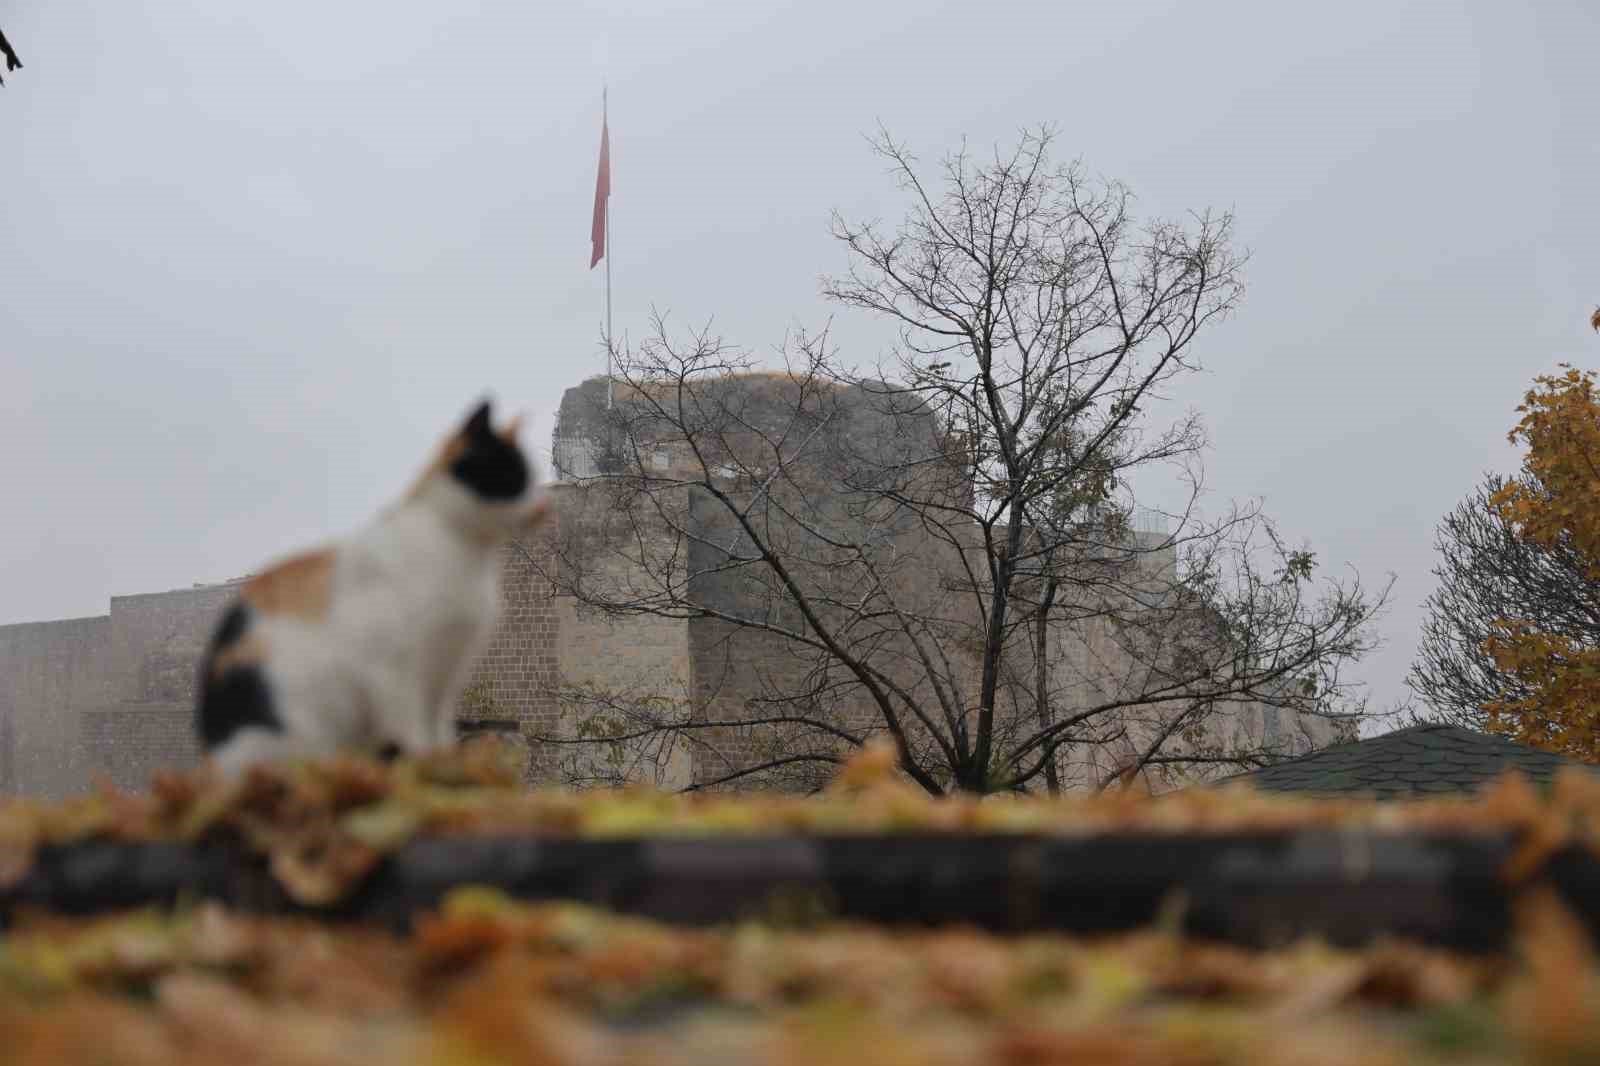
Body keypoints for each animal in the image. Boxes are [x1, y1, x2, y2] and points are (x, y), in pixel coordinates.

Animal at [195, 398, 550, 771]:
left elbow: (438, 734)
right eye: (511, 476)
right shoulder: (395, 671)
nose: (542, 507)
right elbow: (415, 735)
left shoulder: (444, 675)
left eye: (530, 475)